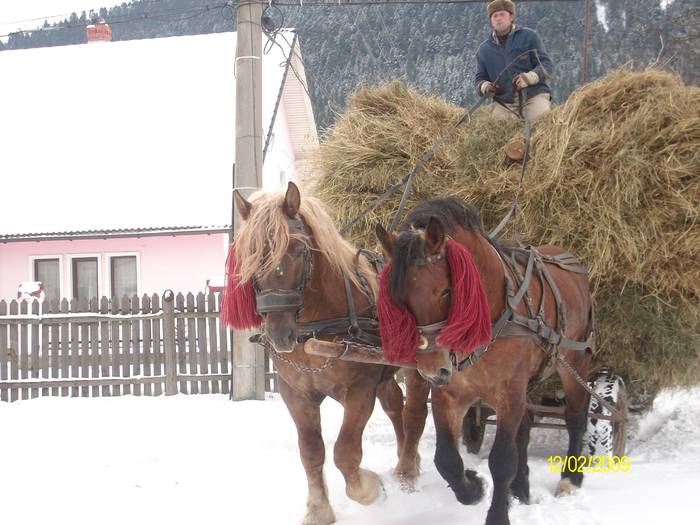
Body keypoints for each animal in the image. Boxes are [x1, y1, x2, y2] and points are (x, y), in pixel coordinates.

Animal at [221, 181, 430, 524]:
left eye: (298, 250)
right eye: (250, 256)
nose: (279, 334)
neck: (316, 326)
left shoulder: (359, 391)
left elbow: (345, 452)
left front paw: (370, 488)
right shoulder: (295, 393)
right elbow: (311, 452)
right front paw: (319, 510)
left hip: (421, 365)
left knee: (414, 412)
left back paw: (408, 470)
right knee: (394, 405)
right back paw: (403, 460)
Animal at [374, 195, 592, 524]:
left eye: (446, 290)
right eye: (399, 298)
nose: (430, 370)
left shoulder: (508, 392)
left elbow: (501, 459)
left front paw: (498, 514)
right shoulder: (449, 394)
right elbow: (446, 458)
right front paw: (474, 488)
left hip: (573, 361)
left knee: (575, 416)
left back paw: (570, 478)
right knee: (524, 429)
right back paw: (521, 488)